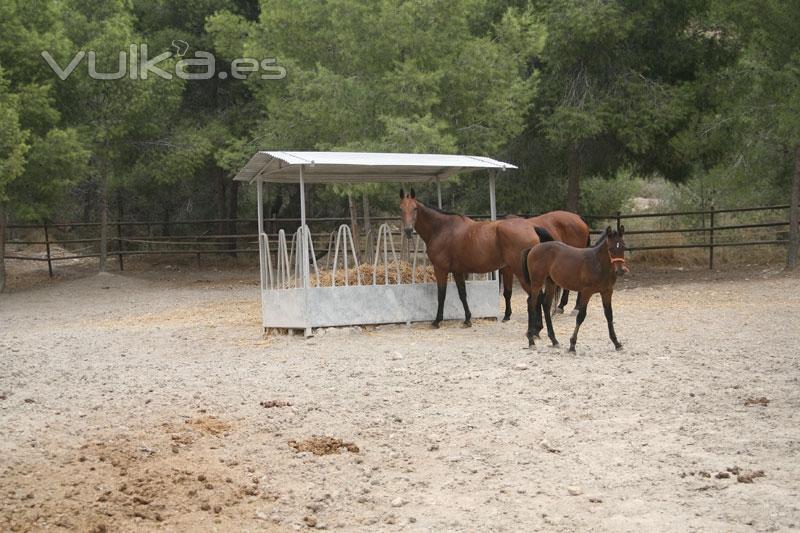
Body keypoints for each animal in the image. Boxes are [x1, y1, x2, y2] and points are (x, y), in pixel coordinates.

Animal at [398, 187, 552, 328]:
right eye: (401, 209)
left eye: (415, 209)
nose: (408, 230)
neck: (442, 229)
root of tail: (531, 227)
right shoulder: (458, 271)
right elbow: (462, 294)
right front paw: (467, 319)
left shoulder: (440, 269)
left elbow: (441, 294)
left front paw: (437, 321)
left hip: (520, 272)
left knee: (535, 296)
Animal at [520, 225, 628, 354]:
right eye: (610, 248)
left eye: (623, 246)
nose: (620, 271)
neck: (597, 263)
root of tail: (533, 249)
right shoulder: (586, 292)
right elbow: (581, 316)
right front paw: (572, 345)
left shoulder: (607, 292)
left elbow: (609, 315)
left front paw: (617, 343)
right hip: (537, 282)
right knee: (531, 304)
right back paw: (531, 340)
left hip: (551, 283)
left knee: (546, 305)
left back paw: (554, 340)